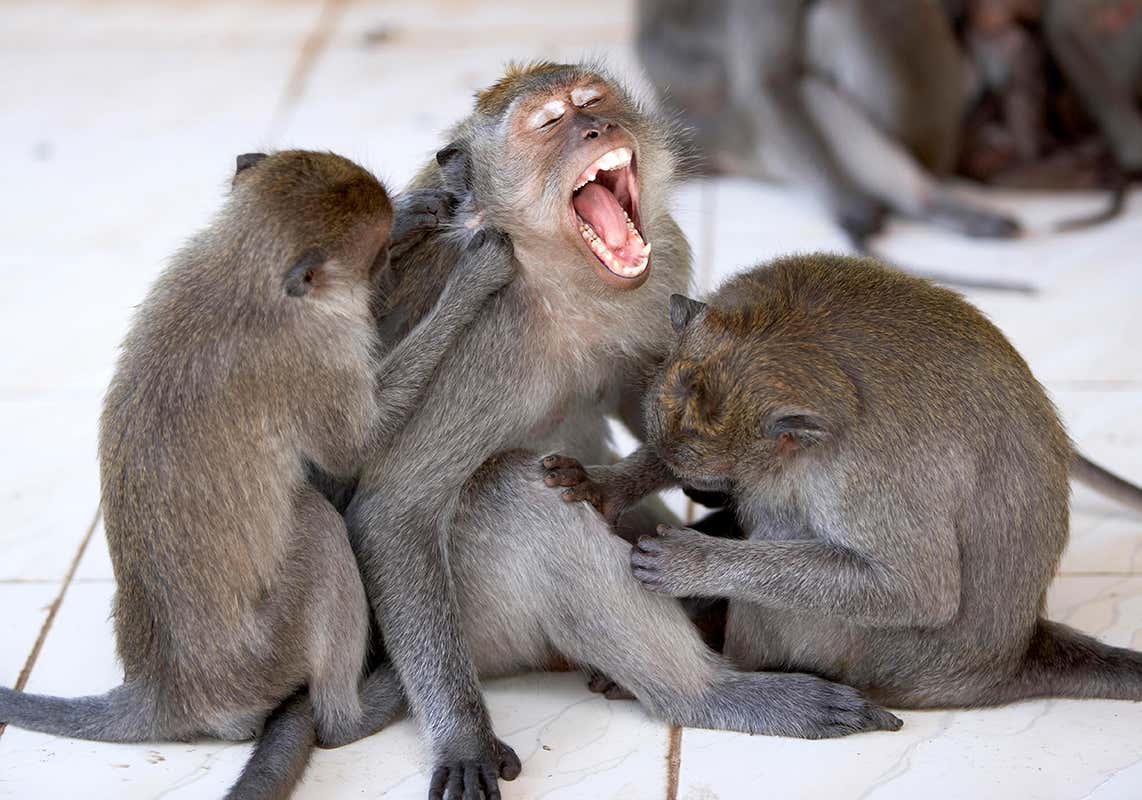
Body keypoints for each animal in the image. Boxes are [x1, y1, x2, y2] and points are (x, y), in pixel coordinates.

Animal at [0, 150, 515, 800]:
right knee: (317, 526)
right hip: (267, 655)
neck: (240, 271)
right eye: (373, 257)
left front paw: (410, 212)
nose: (384, 259)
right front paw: (470, 281)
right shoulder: (316, 354)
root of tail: (166, 691)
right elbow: (358, 446)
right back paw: (353, 713)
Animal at [342, 63, 901, 800]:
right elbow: (393, 509)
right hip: (484, 627)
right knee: (516, 496)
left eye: (592, 101)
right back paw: (711, 694)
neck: (563, 283)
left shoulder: (664, 265)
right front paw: (462, 737)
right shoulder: (483, 333)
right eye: (550, 122)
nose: (596, 129)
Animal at [542, 253, 1142, 711]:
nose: (698, 492)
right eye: (691, 474)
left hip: (893, 663)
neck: (782, 331)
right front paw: (612, 485)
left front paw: (697, 563)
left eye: (712, 477)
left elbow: (917, 590)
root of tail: (1016, 653)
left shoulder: (871, 471)